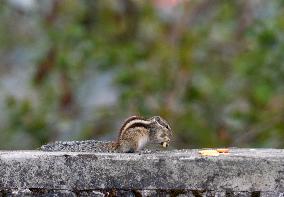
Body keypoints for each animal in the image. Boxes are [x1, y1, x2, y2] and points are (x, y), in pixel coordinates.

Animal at [40, 116, 173, 153]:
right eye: (167, 126)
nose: (172, 134)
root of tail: (119, 145)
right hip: (135, 141)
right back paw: (142, 151)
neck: (155, 124)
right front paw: (166, 139)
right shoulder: (153, 133)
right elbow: (155, 139)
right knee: (132, 150)